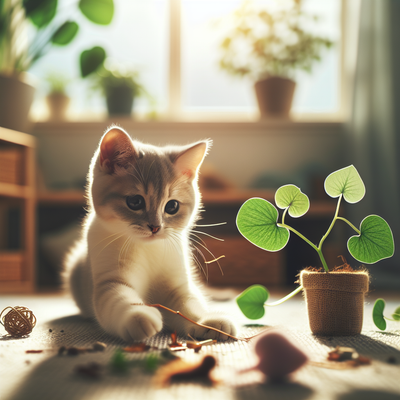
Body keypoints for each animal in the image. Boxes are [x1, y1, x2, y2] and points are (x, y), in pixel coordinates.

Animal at [63, 126, 236, 342]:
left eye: (172, 206)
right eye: (135, 202)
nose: (155, 227)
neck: (147, 249)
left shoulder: (177, 286)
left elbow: (190, 304)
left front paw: (206, 321)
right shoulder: (110, 281)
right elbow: (120, 298)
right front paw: (139, 315)